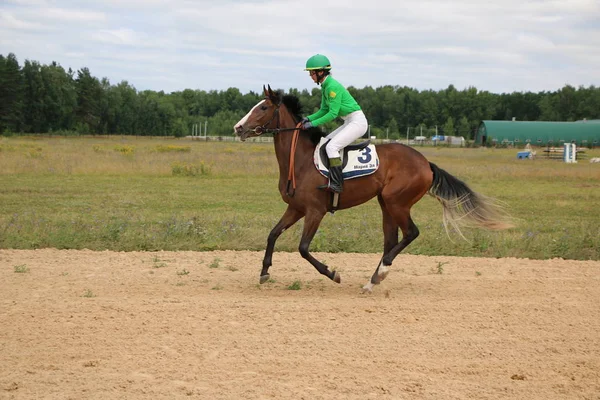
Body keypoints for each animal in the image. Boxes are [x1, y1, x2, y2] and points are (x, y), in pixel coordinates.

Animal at [234, 84, 510, 292]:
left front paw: (333, 273)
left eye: (263, 107)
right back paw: (372, 280)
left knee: (411, 233)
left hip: (397, 202)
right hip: (386, 203)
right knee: (392, 240)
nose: (238, 128)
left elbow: (302, 248)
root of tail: (426, 163)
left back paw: (381, 273)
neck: (299, 160)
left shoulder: (315, 211)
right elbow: (272, 234)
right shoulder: (296, 208)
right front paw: (264, 272)